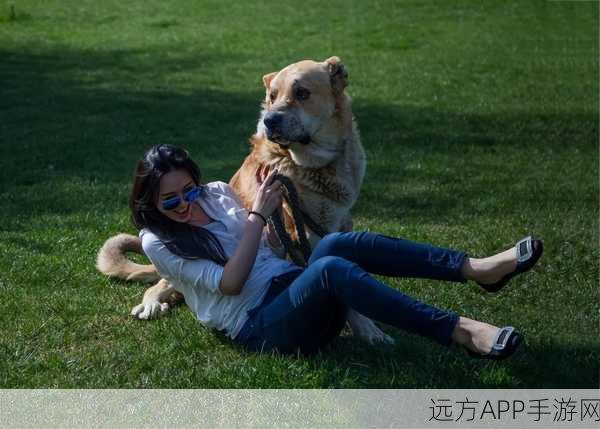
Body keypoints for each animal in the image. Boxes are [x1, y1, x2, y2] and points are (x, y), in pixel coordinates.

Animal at [97, 56, 394, 344]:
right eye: (272, 96)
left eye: (302, 93)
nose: (270, 121)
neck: (317, 168)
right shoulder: (299, 234)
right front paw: (366, 330)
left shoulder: (339, 225)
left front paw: (367, 327)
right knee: (159, 284)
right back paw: (152, 304)